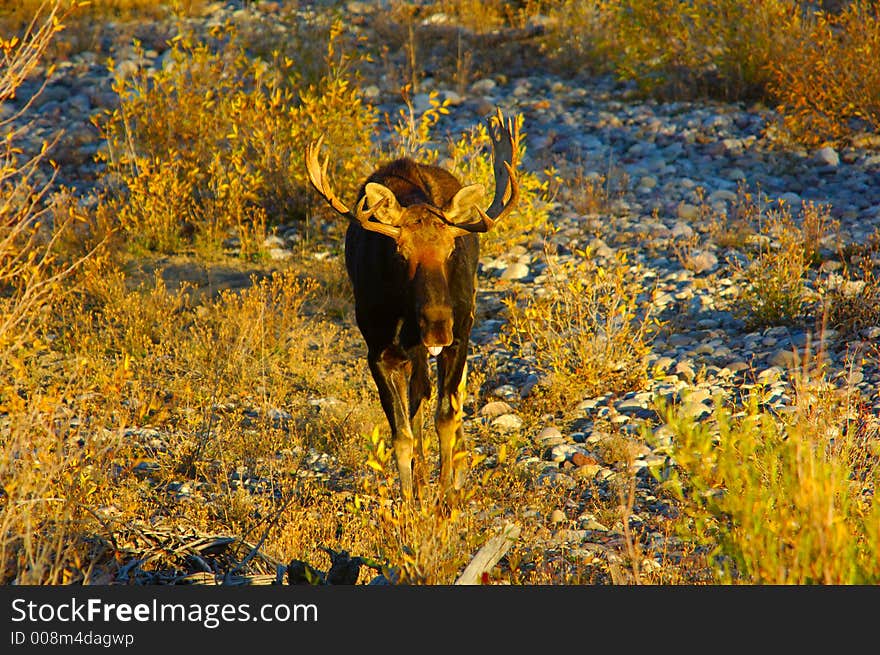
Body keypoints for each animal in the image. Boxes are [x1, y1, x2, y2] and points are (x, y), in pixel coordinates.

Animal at [306, 109, 520, 502]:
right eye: (400, 253)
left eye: (451, 250)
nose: (437, 324)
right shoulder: (379, 351)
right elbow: (402, 435)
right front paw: (410, 502)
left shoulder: (459, 339)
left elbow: (445, 418)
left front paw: (446, 498)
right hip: (411, 353)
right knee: (417, 407)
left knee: (444, 399)